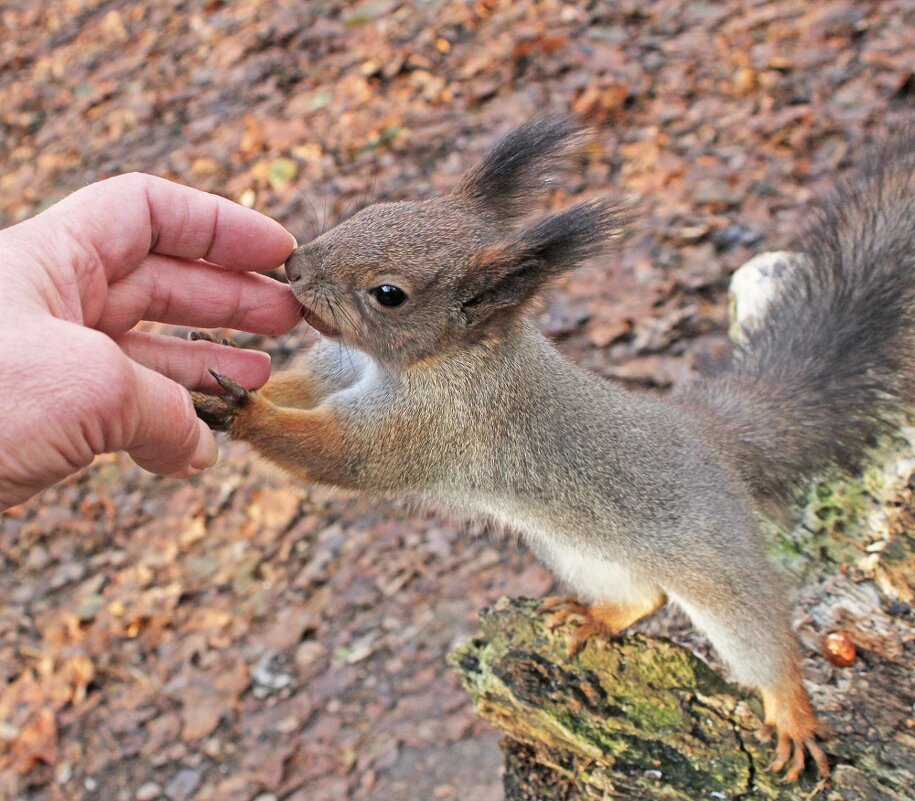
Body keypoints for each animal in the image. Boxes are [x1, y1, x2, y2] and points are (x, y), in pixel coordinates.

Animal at [191, 119, 915, 780]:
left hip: (715, 558)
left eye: (389, 294)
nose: (293, 265)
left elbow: (344, 455)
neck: (424, 361)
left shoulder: (437, 427)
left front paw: (243, 409)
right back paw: (601, 616)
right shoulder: (334, 370)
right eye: (369, 211)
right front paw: (208, 353)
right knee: (646, 597)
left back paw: (792, 712)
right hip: (575, 548)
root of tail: (705, 433)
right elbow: (296, 384)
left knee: (759, 636)